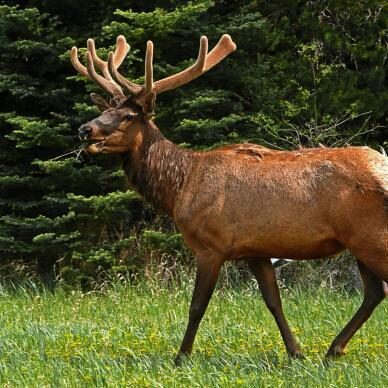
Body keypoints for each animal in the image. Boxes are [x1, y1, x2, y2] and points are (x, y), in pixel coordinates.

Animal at [70, 34, 388, 364]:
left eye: (128, 116)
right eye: (105, 110)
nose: (85, 129)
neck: (179, 187)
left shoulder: (211, 246)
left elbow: (197, 306)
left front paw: (181, 357)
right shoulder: (256, 249)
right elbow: (273, 301)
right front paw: (296, 353)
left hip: (370, 236)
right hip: (358, 241)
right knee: (375, 292)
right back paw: (333, 350)